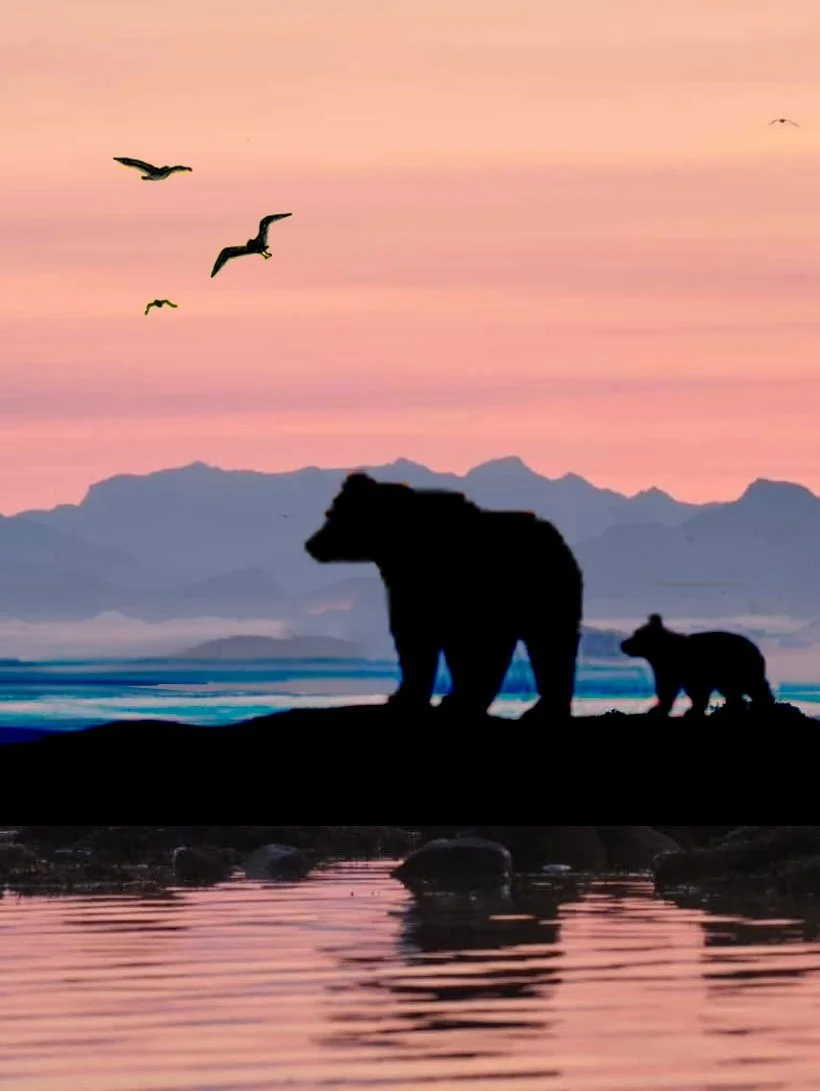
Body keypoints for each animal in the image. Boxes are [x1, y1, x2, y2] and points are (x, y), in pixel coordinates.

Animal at [304, 472, 583, 720]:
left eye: (331, 515)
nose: (311, 544)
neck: (392, 546)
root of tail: (557, 537)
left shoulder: (437, 583)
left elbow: (420, 636)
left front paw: (407, 698)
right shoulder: (411, 584)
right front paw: (413, 697)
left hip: (539, 586)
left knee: (546, 639)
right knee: (542, 642)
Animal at [620, 613, 776, 717]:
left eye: (636, 634)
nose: (623, 644)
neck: (660, 653)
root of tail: (756, 649)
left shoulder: (686, 667)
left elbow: (675, 689)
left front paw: (659, 709)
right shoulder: (668, 669)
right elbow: (672, 689)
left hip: (738, 666)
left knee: (753, 685)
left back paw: (761, 705)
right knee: (735, 690)